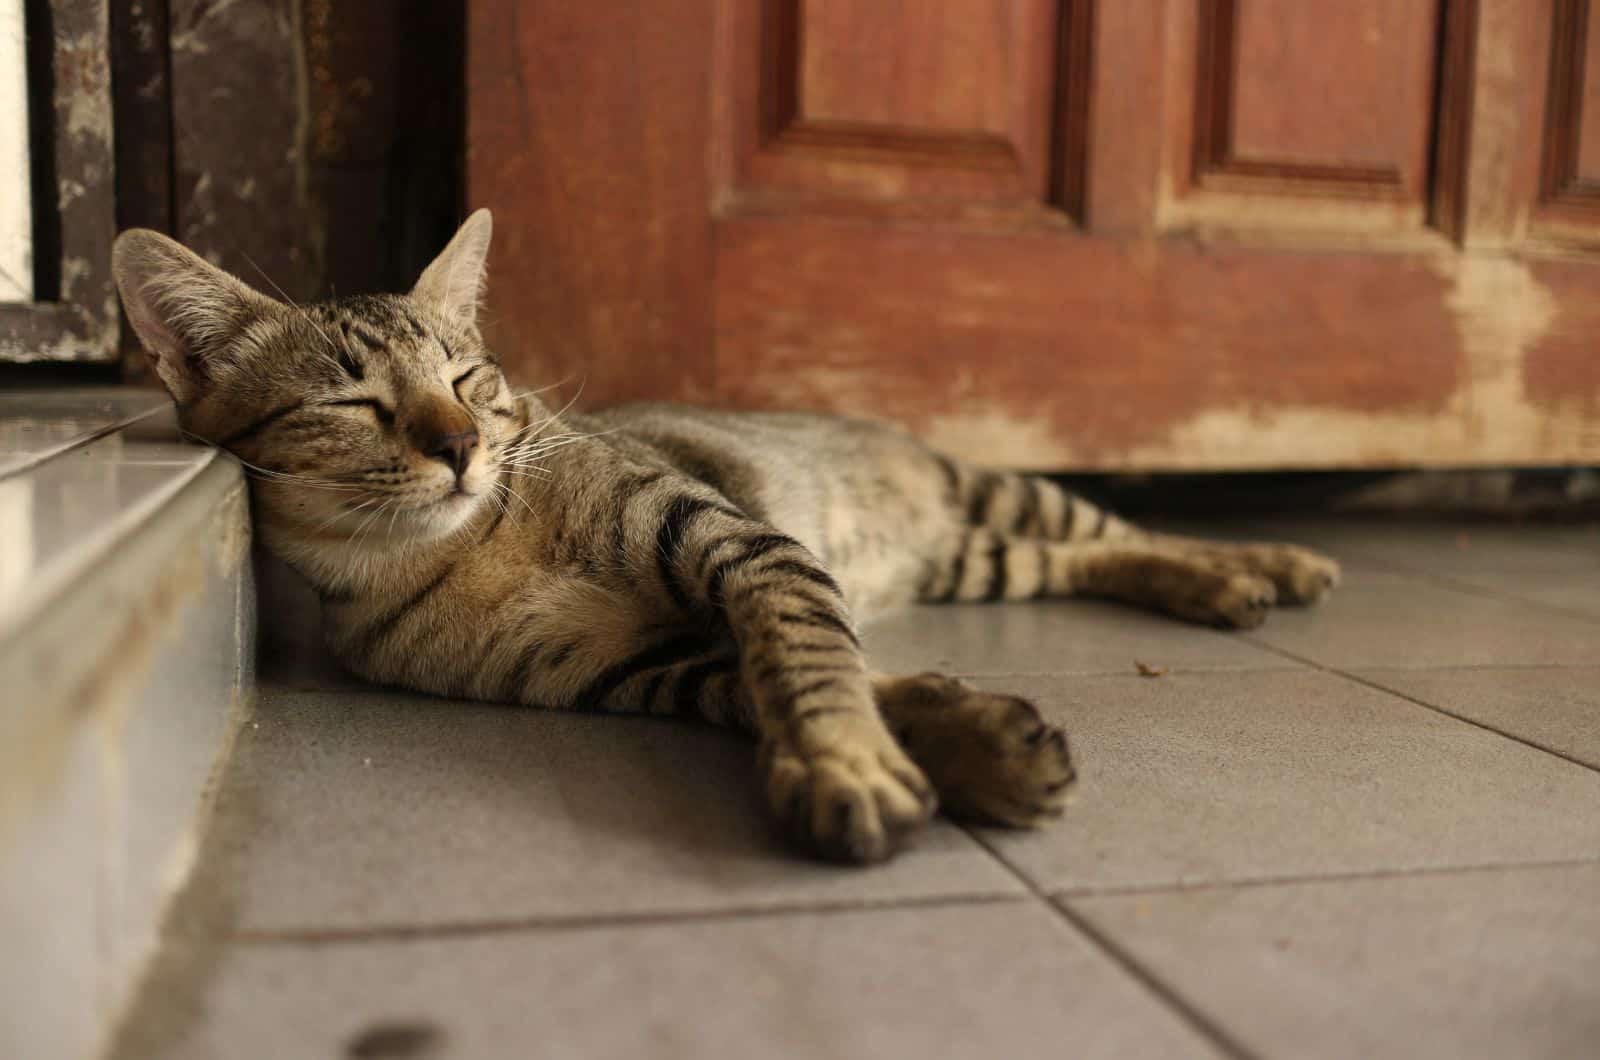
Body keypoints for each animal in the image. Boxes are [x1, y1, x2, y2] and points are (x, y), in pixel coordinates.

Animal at [109, 211, 1337, 871]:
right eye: (354, 403)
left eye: (469, 378)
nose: (460, 444)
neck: (466, 550)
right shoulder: (639, 665)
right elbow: (817, 675)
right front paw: (968, 739)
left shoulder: (739, 545)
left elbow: (809, 655)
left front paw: (845, 759)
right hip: (973, 556)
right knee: (1077, 558)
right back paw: (1228, 585)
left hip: (993, 489)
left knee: (1121, 524)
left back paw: (1260, 567)